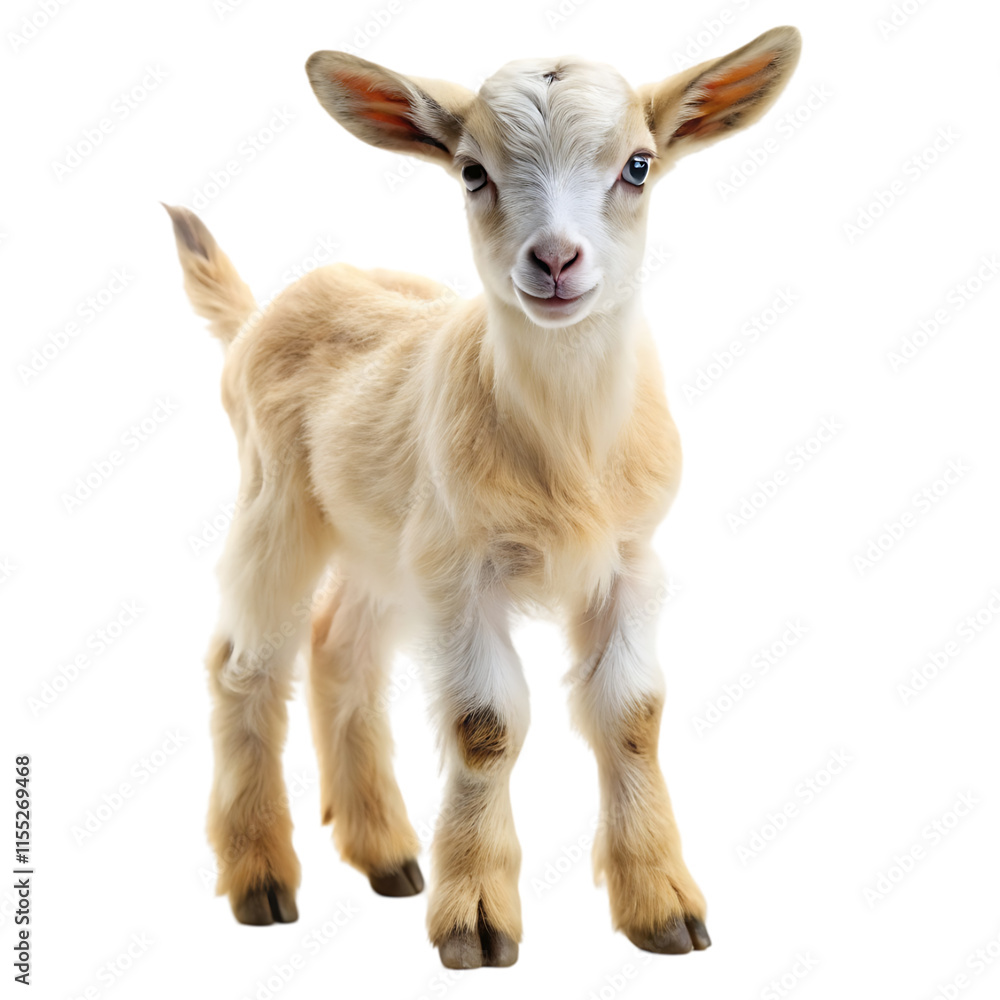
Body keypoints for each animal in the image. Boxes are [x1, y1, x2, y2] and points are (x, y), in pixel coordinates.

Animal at [164, 25, 801, 968]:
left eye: (638, 165)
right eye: (472, 171)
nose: (556, 259)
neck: (568, 445)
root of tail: (266, 312)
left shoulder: (629, 560)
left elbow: (632, 715)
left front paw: (661, 906)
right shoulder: (463, 568)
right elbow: (486, 725)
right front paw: (474, 918)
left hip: (385, 540)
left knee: (341, 646)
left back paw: (387, 854)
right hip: (276, 503)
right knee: (243, 665)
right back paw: (263, 878)